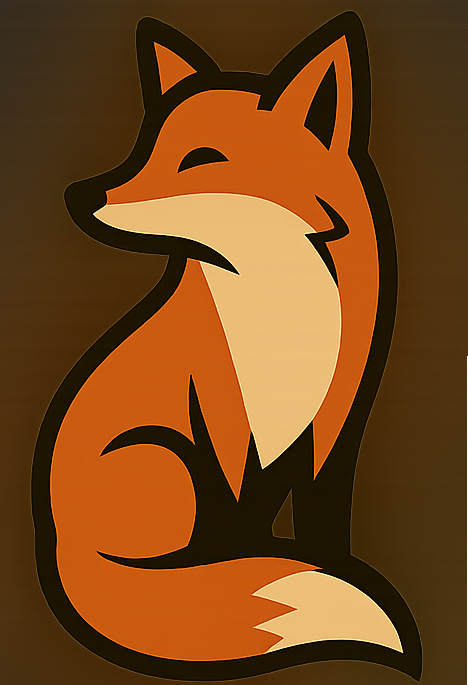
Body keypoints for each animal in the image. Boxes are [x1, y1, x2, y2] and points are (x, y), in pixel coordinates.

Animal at [32, 11, 421, 681]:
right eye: (146, 148)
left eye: (201, 159)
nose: (82, 198)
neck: (279, 314)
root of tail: (61, 548)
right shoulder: (225, 421)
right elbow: (240, 530)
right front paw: (236, 584)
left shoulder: (334, 425)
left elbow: (322, 527)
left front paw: (320, 567)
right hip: (166, 455)